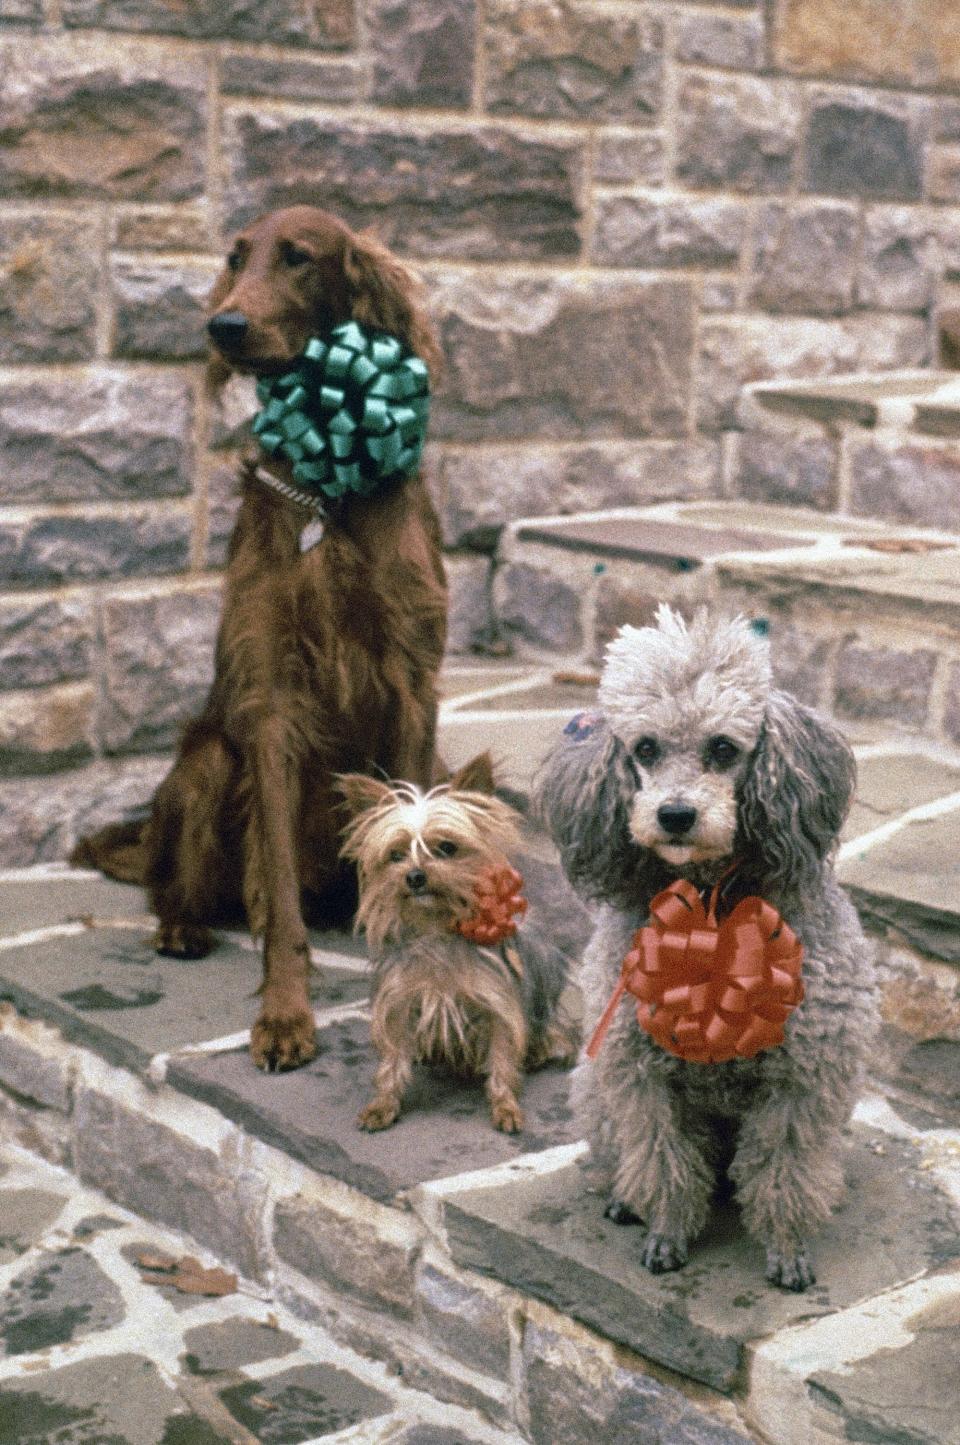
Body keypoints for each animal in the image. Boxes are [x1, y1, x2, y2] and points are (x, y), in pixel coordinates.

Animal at [339, 757, 578, 1127]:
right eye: (396, 855)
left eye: (447, 848)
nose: (415, 876)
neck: (436, 928)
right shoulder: (398, 999)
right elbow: (393, 1059)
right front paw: (383, 1103)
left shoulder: (498, 1002)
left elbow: (502, 1057)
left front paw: (505, 1105)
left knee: (551, 1029)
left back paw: (539, 1049)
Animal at [540, 604, 879, 1294]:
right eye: (644, 748)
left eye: (724, 749)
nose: (674, 815)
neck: (710, 901)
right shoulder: (641, 1074)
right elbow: (663, 1162)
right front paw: (666, 1235)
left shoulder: (801, 1081)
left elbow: (784, 1173)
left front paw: (787, 1250)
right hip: (595, 1088)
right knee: (623, 1156)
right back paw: (624, 1199)